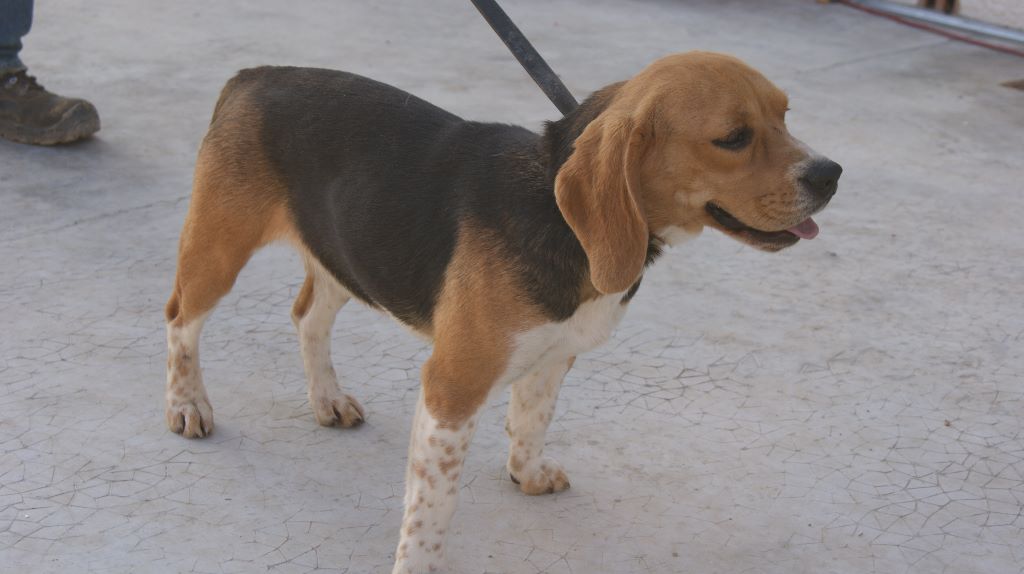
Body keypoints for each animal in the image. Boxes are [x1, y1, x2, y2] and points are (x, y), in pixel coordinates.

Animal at [163, 51, 839, 568]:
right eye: (733, 138)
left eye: (784, 115)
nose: (832, 173)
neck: (561, 217)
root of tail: (254, 74)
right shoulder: (452, 387)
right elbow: (433, 506)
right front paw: (419, 564)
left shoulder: (554, 355)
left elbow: (531, 421)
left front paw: (526, 474)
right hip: (217, 251)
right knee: (179, 321)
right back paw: (187, 405)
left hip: (342, 253)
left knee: (307, 315)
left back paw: (326, 398)